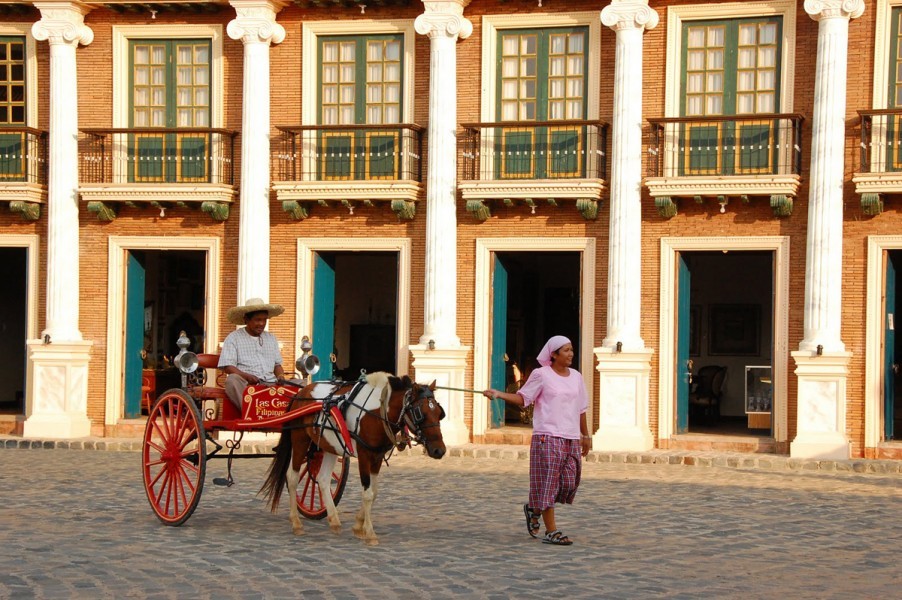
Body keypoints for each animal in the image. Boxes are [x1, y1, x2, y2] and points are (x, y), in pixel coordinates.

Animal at [260, 370, 446, 544]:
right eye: (420, 413)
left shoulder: (377, 456)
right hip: (300, 439)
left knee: (323, 478)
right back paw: (296, 523)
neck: (377, 411)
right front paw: (369, 533)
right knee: (292, 477)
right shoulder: (364, 455)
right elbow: (368, 493)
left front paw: (358, 525)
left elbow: (374, 492)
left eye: (439, 413)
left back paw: (334, 520)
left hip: (329, 445)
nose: (439, 451)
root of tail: (301, 392)